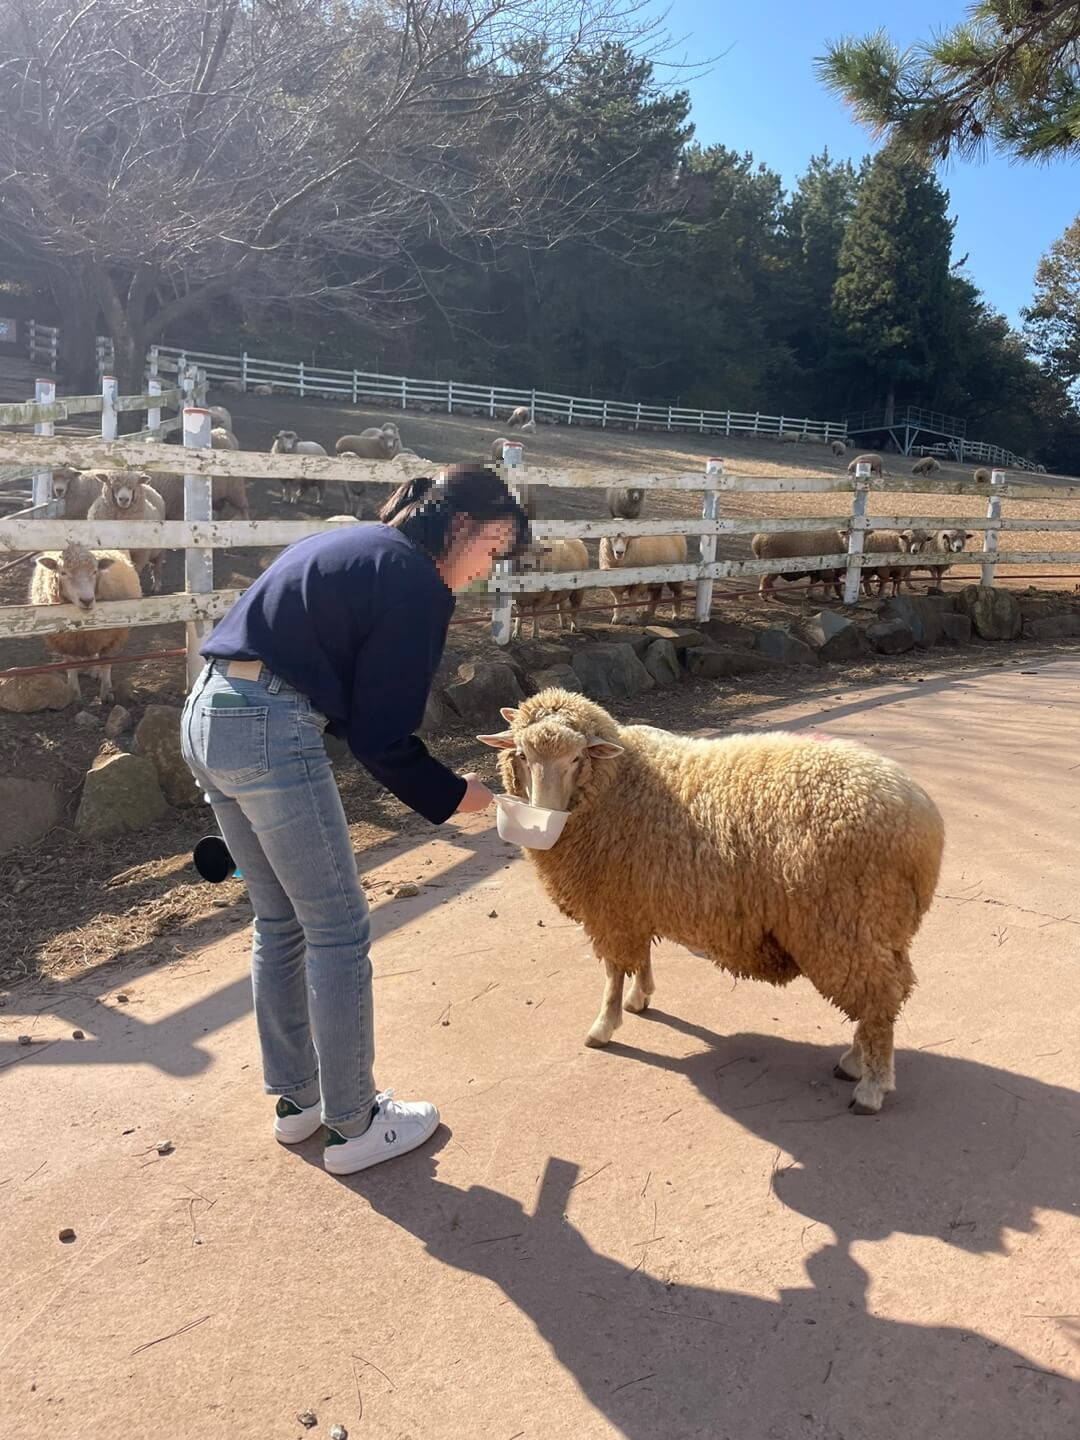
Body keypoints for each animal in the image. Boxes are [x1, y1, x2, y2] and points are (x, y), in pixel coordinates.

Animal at [30, 541, 141, 705]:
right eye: (63, 572)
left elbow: (106, 664)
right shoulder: (64, 641)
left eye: (95, 571)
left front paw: (106, 691)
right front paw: (74, 692)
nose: (87, 600)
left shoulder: (113, 637)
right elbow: (71, 666)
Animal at [480, 691, 944, 1117]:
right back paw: (855, 1060)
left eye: (577, 758)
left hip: (845, 922)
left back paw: (871, 1086)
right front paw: (640, 997)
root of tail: (922, 819)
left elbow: (613, 972)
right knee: (888, 992)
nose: (541, 820)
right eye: (521, 755)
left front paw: (604, 1026)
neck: (620, 783)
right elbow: (640, 958)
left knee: (880, 997)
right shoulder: (635, 899)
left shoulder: (610, 908)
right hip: (880, 925)